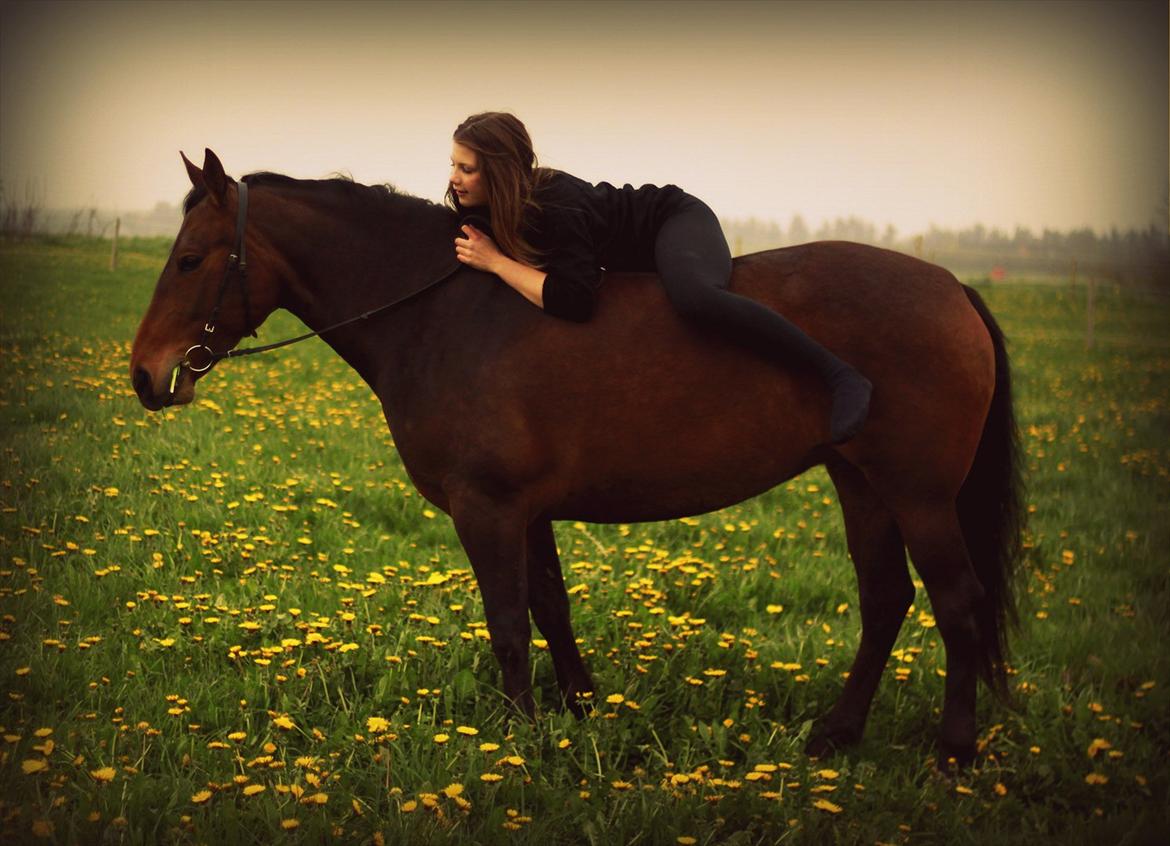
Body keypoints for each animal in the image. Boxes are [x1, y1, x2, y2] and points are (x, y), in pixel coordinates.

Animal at [130, 150, 1024, 767]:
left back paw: (954, 751)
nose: (144, 374)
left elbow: (506, 623)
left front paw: (517, 734)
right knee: (886, 602)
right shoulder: (526, 510)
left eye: (190, 259)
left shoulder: (487, 508)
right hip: (861, 483)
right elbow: (549, 610)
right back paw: (834, 737)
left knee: (958, 604)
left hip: (919, 495)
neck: (448, 312)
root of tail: (953, 287)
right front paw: (579, 711)